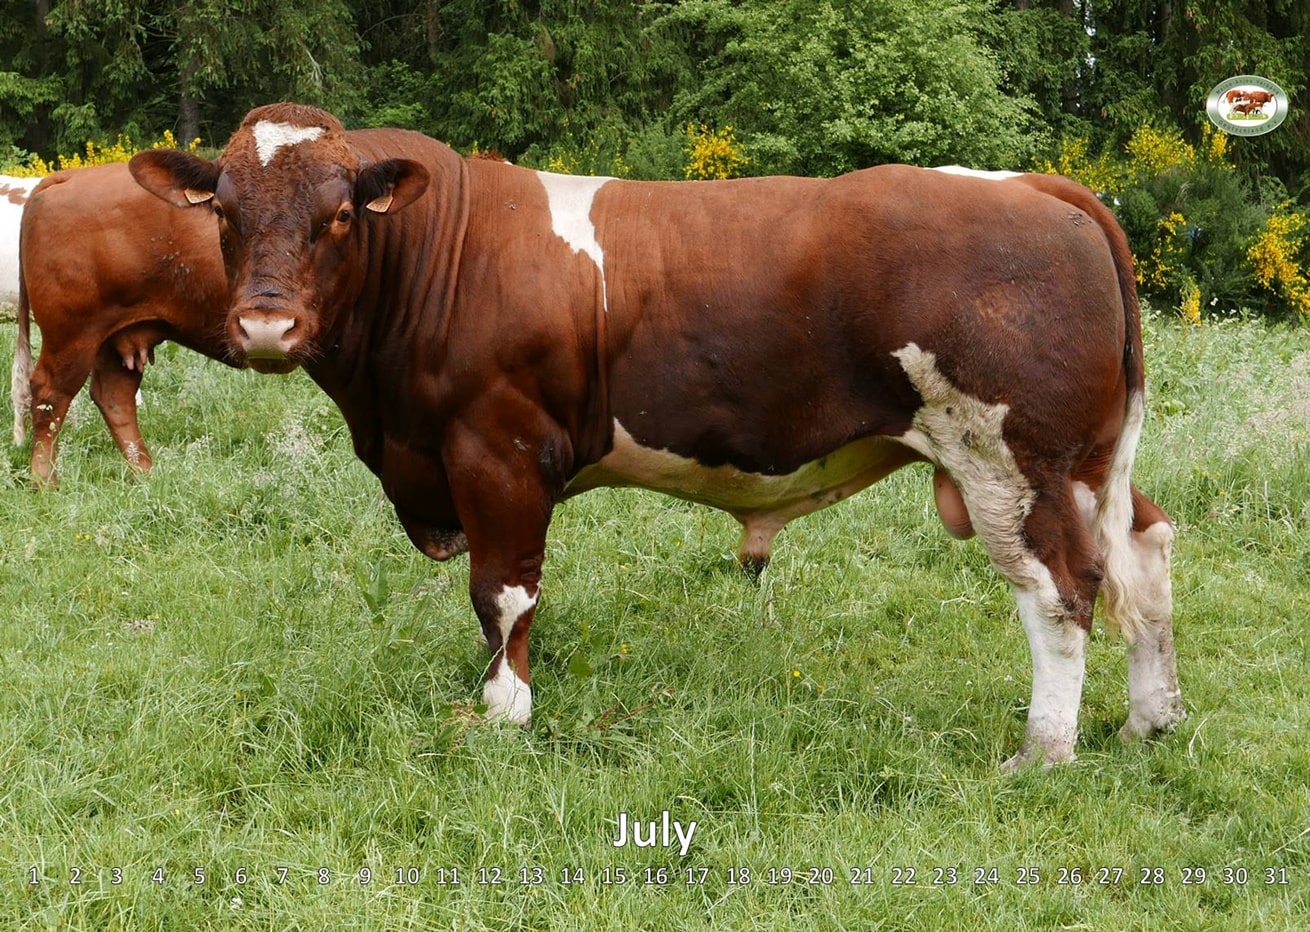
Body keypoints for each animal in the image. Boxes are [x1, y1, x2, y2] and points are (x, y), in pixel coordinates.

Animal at [10, 163, 233, 486]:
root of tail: (71, 175)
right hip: (71, 335)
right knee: (49, 395)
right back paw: (44, 481)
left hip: (113, 335)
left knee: (113, 396)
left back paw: (145, 473)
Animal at [130, 103, 1184, 770]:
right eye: (224, 212)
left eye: (342, 214)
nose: (268, 326)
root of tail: (1039, 187)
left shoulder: (497, 451)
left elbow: (504, 591)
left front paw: (504, 711)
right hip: (1088, 461)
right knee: (1144, 548)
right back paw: (1148, 723)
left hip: (1014, 459)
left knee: (1061, 590)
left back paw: (1042, 753)